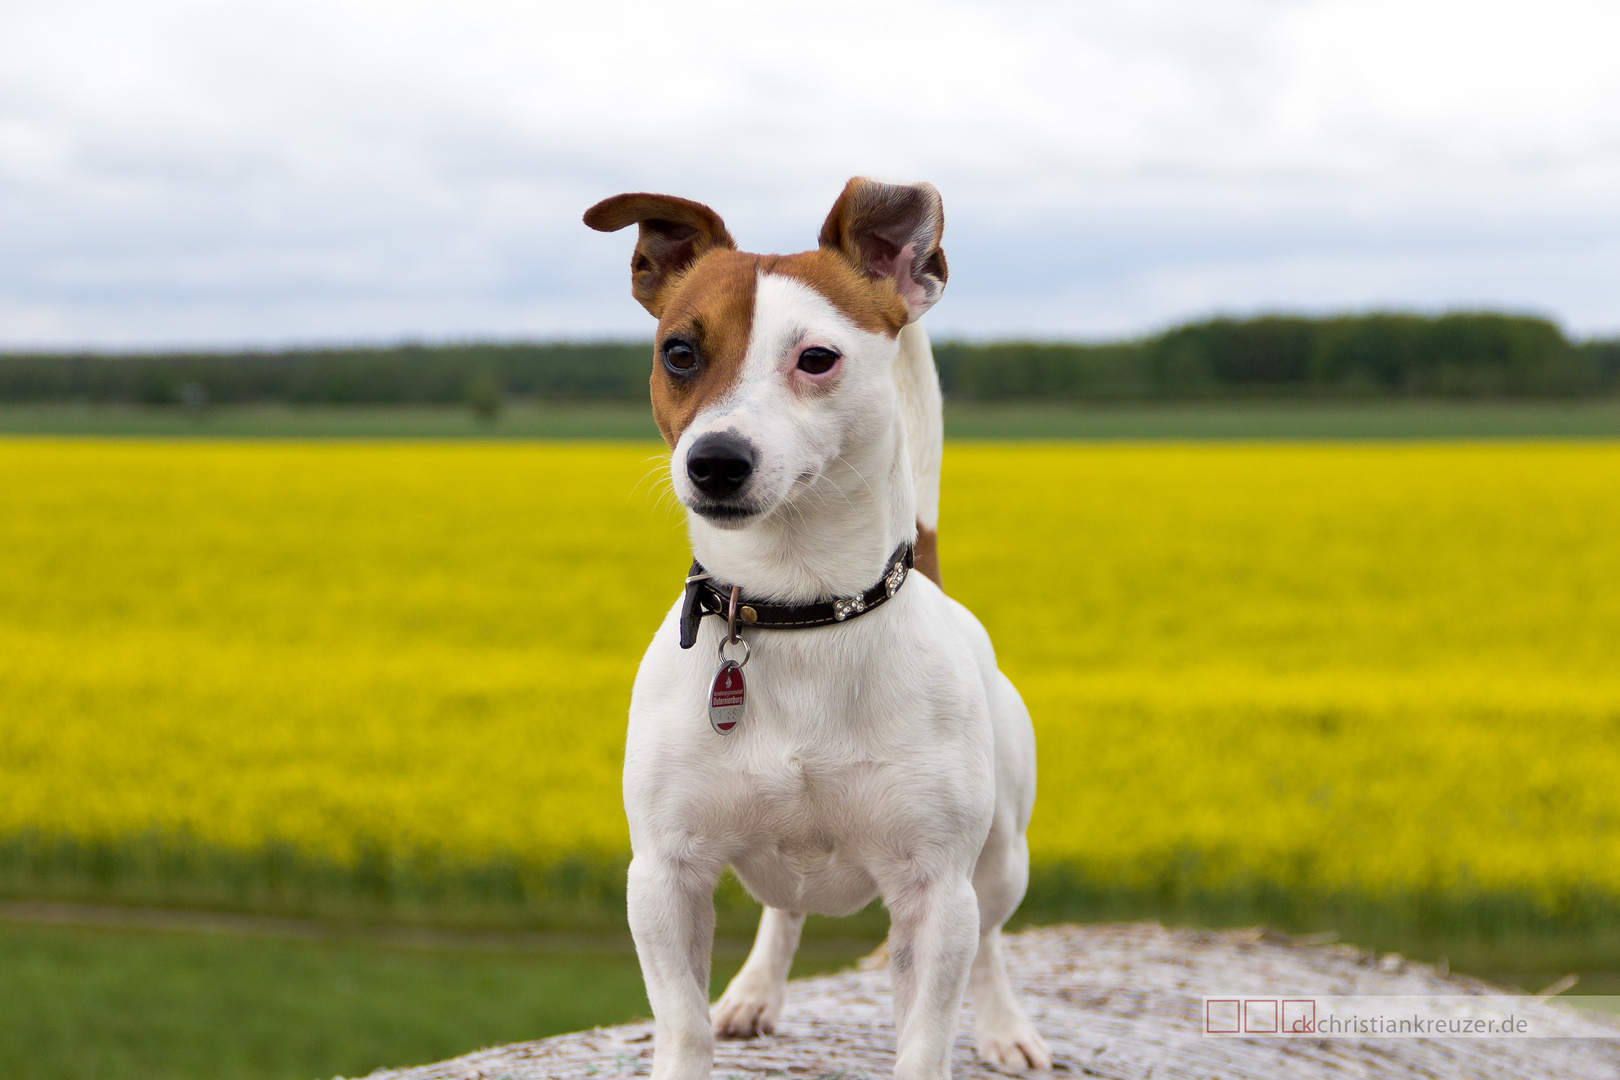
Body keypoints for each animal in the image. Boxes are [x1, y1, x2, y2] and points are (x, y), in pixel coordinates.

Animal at [583, 179, 1049, 1080]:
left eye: (818, 359)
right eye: (679, 352)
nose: (715, 460)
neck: (797, 611)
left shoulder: (936, 891)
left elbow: (927, 1034)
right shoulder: (663, 874)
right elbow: (681, 1023)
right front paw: (712, 1021)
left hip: (1002, 857)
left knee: (992, 941)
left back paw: (1007, 1025)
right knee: (786, 911)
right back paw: (754, 992)